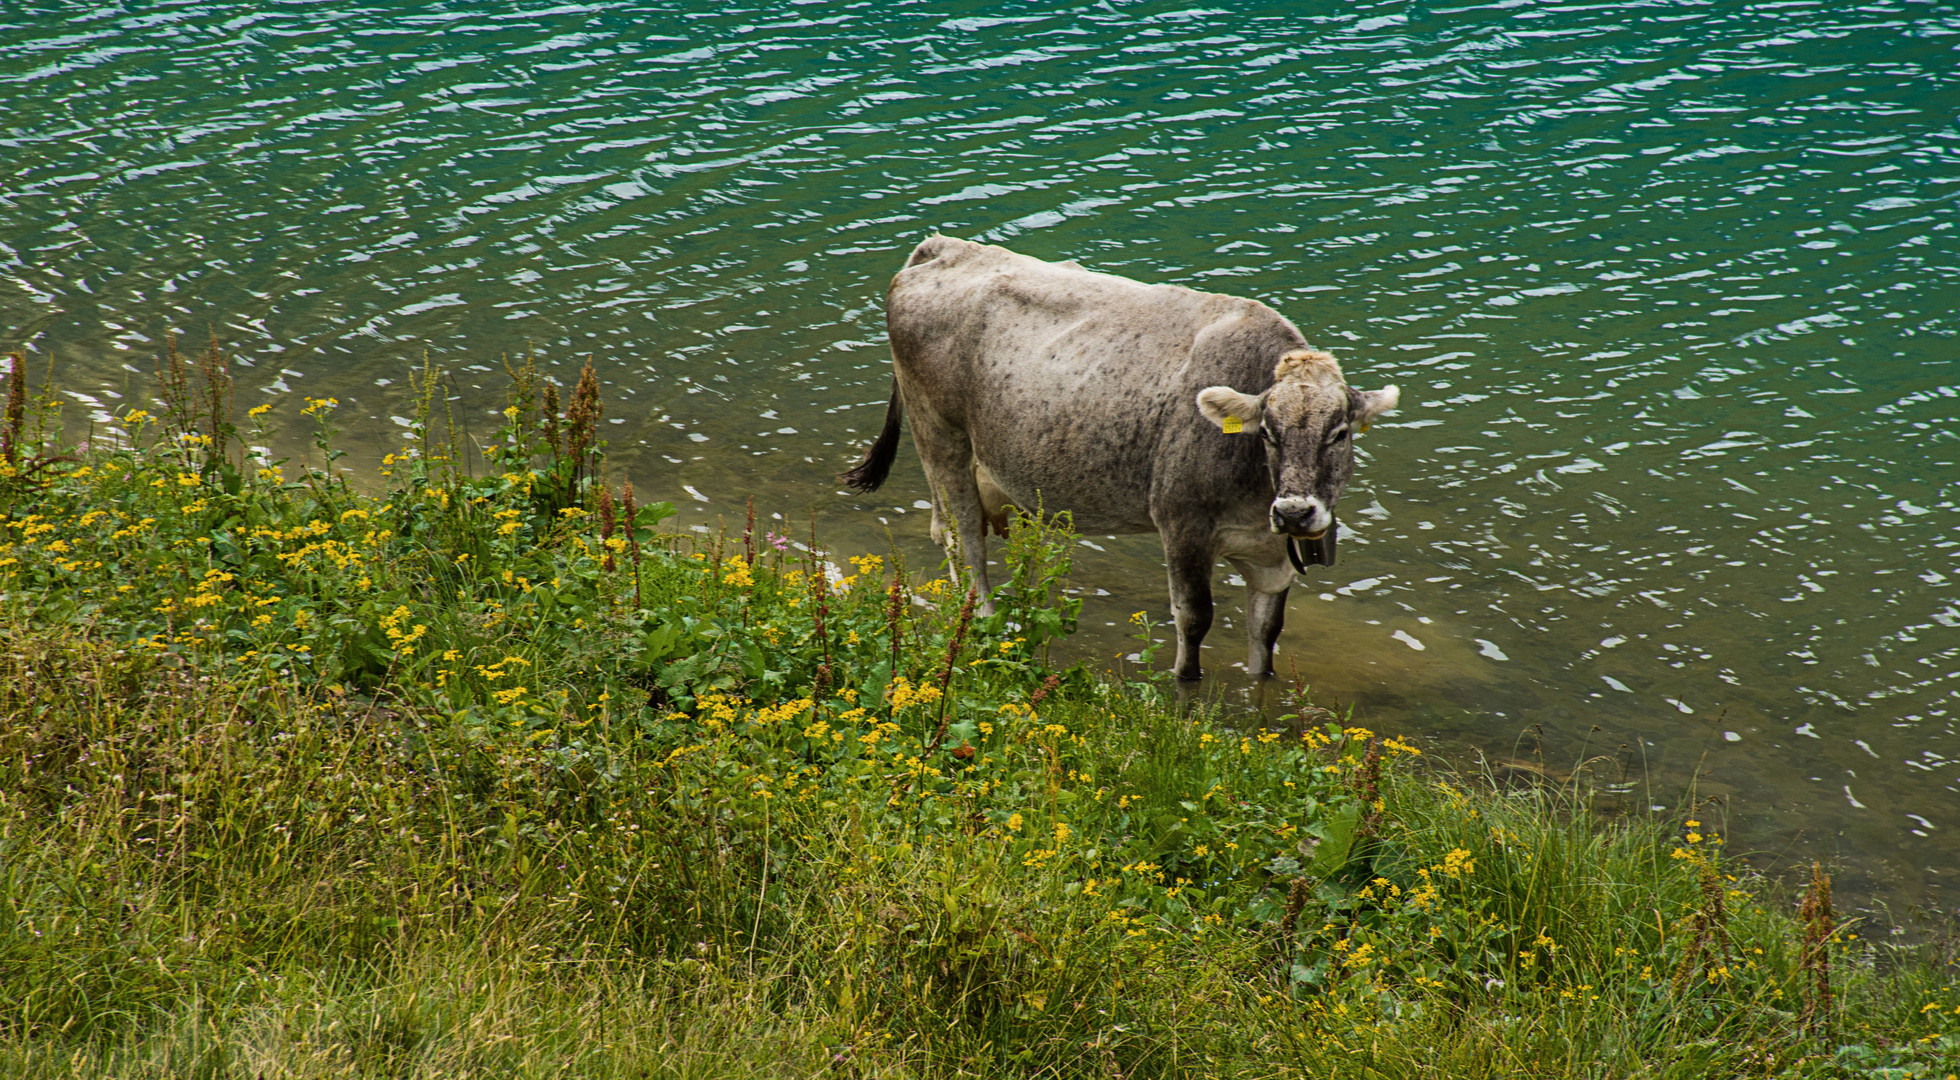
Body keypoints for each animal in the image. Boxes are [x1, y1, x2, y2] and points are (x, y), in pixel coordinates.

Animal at [838, 237, 1395, 682]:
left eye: (1339, 433)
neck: (1258, 497)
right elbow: (1194, 621)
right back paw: (986, 627)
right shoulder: (1182, 524)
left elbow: (1266, 639)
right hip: (941, 438)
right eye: (1269, 434)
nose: (1295, 512)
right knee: (966, 545)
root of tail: (946, 247)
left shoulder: (1269, 557)